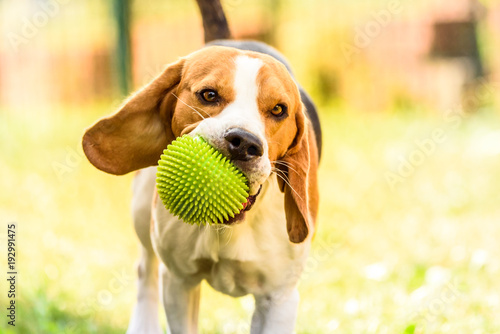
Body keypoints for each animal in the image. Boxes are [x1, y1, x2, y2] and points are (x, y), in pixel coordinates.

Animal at [81, 39, 322, 334]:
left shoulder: (278, 299)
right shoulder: (178, 282)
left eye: (279, 110)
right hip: (142, 208)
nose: (243, 142)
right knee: (145, 268)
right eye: (209, 95)